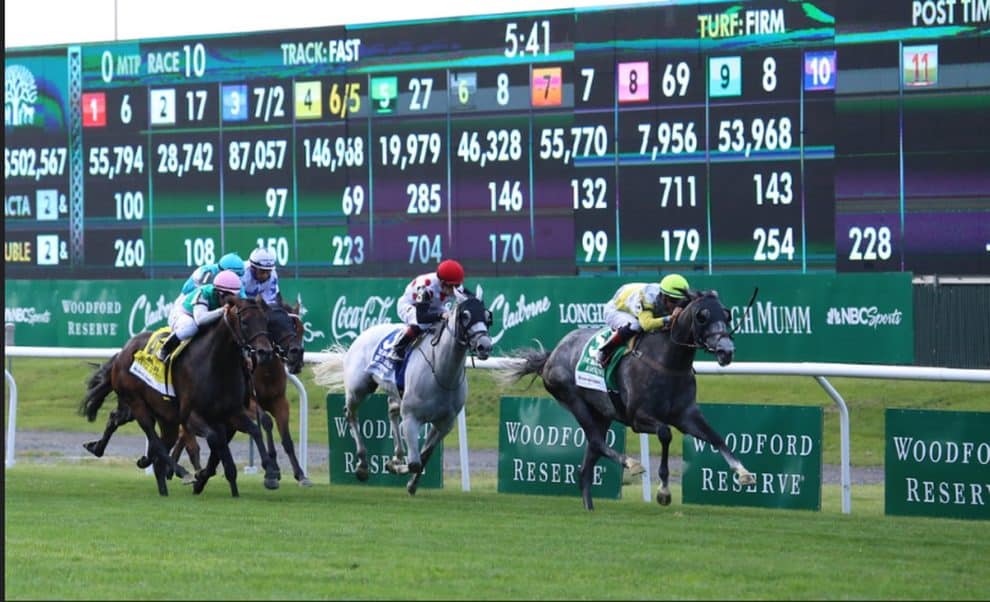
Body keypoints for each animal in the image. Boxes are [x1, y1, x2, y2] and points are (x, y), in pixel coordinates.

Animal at [79, 296, 274, 496]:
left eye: (266, 320)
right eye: (245, 322)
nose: (265, 352)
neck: (215, 363)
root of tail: (122, 353)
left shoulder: (231, 412)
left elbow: (255, 429)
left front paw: (270, 473)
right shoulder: (191, 416)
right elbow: (214, 439)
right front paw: (202, 475)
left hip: (165, 416)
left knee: (132, 428)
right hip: (137, 404)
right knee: (154, 440)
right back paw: (182, 472)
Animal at [312, 295, 493, 494]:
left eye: (487, 317)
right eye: (466, 316)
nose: (484, 346)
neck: (441, 372)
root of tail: (363, 333)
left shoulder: (444, 424)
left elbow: (424, 457)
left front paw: (411, 482)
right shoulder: (411, 418)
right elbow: (414, 463)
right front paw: (393, 467)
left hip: (395, 393)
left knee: (391, 411)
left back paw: (397, 455)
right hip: (358, 388)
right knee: (350, 413)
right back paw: (363, 465)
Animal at [497, 289, 755, 510]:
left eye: (726, 314)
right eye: (702, 316)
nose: (726, 351)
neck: (668, 363)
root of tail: (553, 354)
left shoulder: (686, 416)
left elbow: (716, 437)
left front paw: (744, 473)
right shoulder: (638, 418)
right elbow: (665, 433)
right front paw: (663, 492)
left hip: (601, 413)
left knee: (587, 464)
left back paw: (590, 508)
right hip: (574, 400)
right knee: (597, 443)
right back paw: (632, 463)